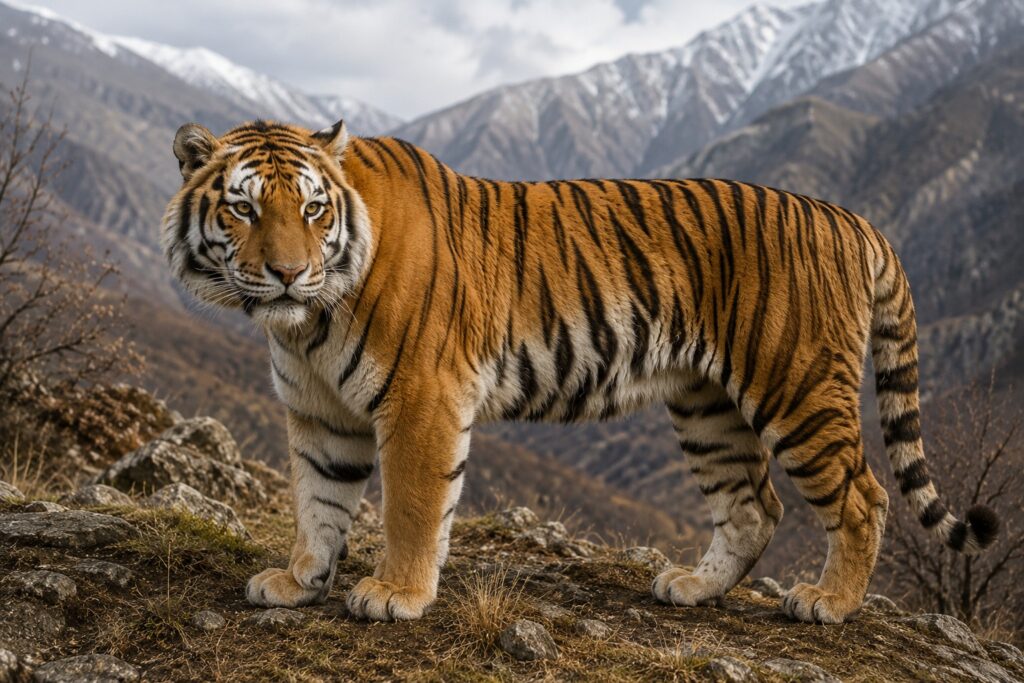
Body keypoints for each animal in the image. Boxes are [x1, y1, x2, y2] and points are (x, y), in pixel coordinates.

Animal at [163, 118, 999, 624]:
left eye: (312, 210)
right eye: (243, 209)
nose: (286, 273)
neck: (305, 324)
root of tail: (852, 218)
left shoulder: (422, 398)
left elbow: (411, 505)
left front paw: (396, 592)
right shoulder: (320, 414)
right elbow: (318, 502)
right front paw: (297, 582)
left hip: (797, 388)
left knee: (863, 496)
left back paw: (828, 600)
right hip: (708, 408)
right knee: (755, 505)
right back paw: (693, 587)